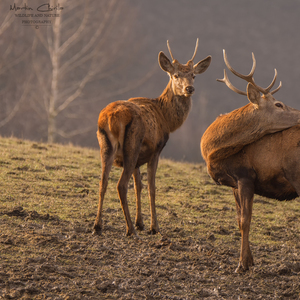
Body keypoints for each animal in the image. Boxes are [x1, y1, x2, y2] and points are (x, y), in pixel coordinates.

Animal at [95, 39, 212, 237]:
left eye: (194, 76)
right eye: (175, 75)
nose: (189, 88)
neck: (165, 118)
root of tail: (111, 118)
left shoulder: (138, 160)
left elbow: (138, 186)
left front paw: (140, 223)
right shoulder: (156, 150)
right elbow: (151, 187)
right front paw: (153, 227)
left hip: (106, 146)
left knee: (103, 182)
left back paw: (97, 226)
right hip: (131, 146)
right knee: (120, 185)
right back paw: (129, 230)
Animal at [199, 51, 300, 272]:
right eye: (278, 104)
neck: (212, 153)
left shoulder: (246, 175)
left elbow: (246, 220)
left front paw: (242, 264)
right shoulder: (236, 182)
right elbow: (239, 220)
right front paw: (249, 261)